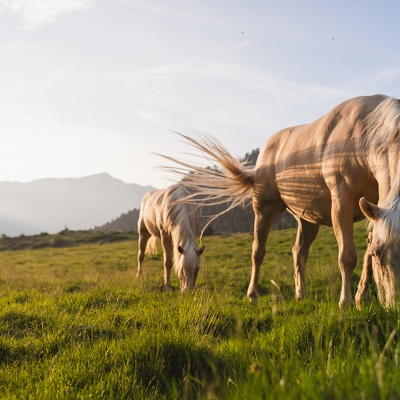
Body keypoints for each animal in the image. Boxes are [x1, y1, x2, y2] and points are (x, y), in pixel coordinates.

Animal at [161, 95, 400, 308]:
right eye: (380, 254)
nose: (395, 305)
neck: (366, 134)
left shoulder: (374, 209)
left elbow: (365, 252)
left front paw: (360, 298)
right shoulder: (342, 204)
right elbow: (347, 256)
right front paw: (346, 302)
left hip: (308, 219)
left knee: (299, 251)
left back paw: (300, 294)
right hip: (264, 209)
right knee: (258, 251)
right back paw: (253, 294)